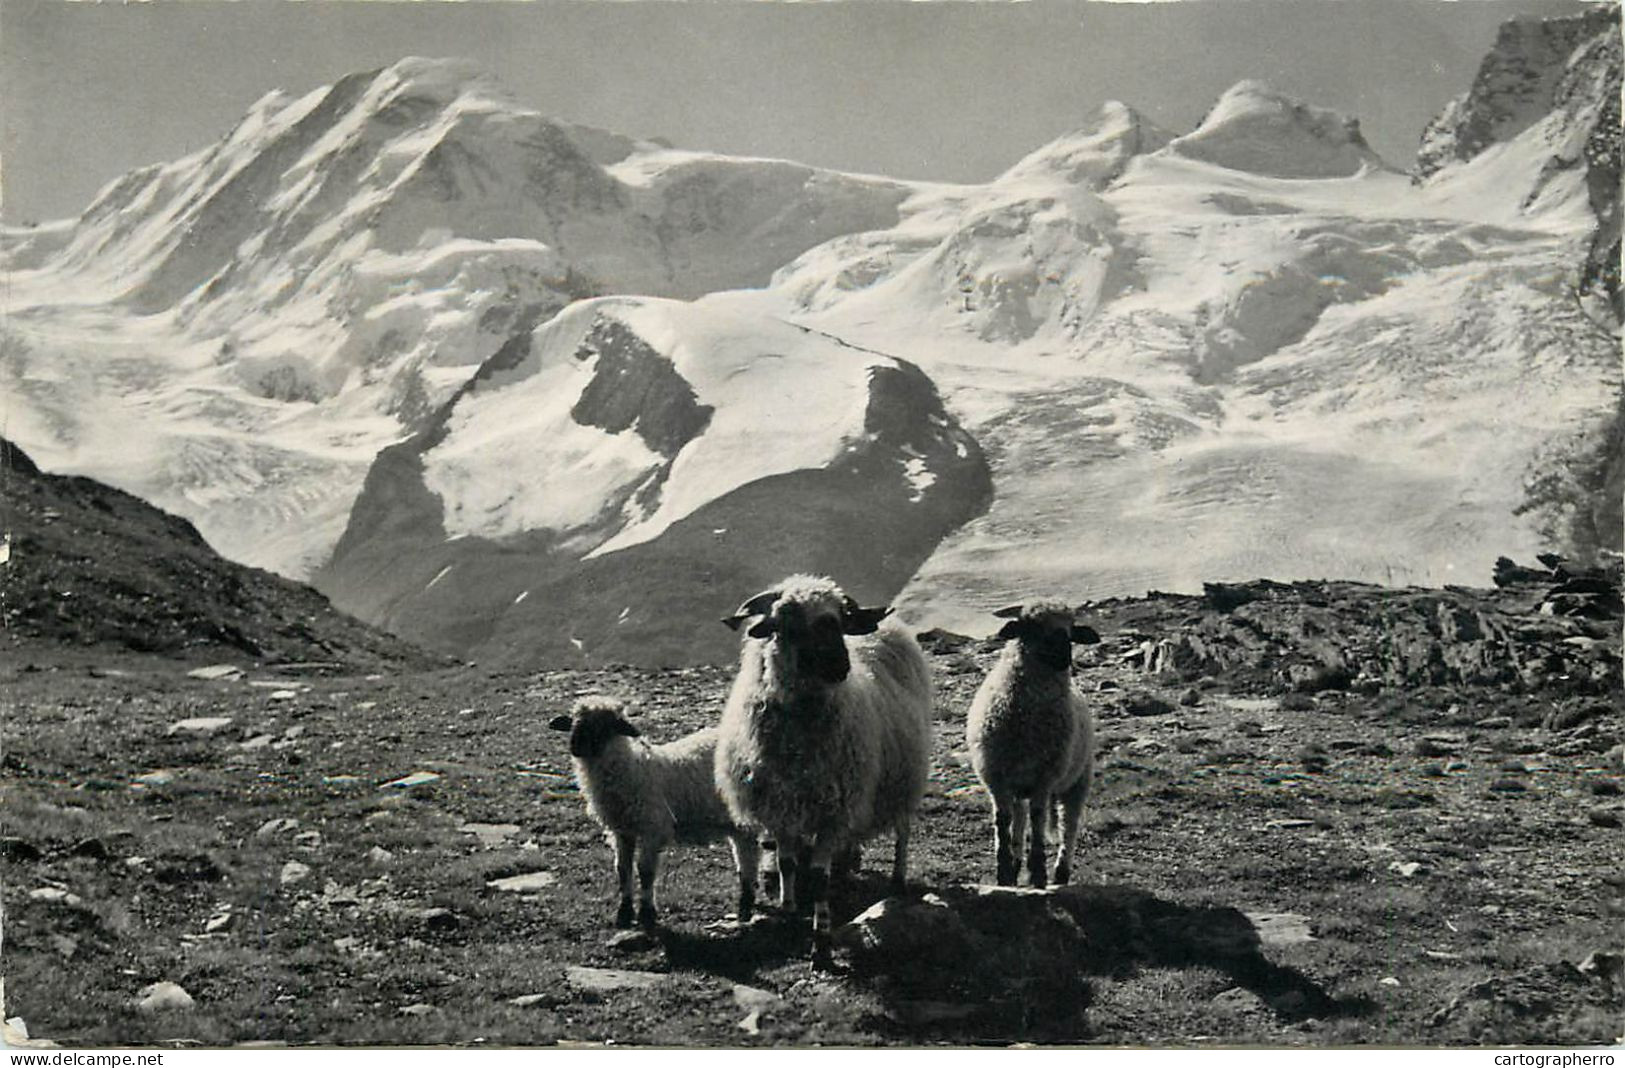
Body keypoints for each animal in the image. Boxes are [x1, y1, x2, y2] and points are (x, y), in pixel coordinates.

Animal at [546, 695, 760, 929]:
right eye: (573, 722)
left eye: (605, 725)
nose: (575, 746)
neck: (630, 770)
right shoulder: (622, 831)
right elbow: (623, 869)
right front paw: (624, 913)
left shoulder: (653, 828)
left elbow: (645, 871)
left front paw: (647, 913)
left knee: (749, 858)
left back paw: (746, 906)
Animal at [718, 575, 936, 968]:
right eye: (787, 623)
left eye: (839, 619)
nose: (839, 666)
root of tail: (891, 626)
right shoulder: (781, 810)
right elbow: (787, 864)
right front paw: (789, 911)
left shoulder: (830, 814)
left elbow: (819, 879)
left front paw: (820, 945)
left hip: (904, 776)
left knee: (903, 832)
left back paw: (897, 880)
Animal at [968, 604, 1098, 884]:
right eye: (1032, 627)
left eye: (1071, 630)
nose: (1064, 655)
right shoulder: (996, 775)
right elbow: (1002, 819)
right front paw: (1004, 870)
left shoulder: (1045, 776)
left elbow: (1038, 818)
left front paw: (1038, 871)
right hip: (1018, 784)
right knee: (1018, 818)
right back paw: (1016, 863)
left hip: (1078, 780)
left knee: (1068, 824)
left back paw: (1060, 872)